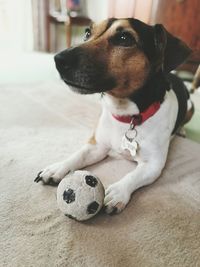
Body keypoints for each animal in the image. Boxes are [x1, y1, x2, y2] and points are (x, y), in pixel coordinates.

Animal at [34, 18, 194, 216]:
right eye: (87, 33)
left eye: (124, 38)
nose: (58, 59)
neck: (128, 116)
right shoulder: (97, 146)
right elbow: (78, 155)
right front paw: (58, 167)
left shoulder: (153, 165)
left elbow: (133, 176)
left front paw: (118, 192)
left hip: (191, 107)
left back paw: (182, 130)